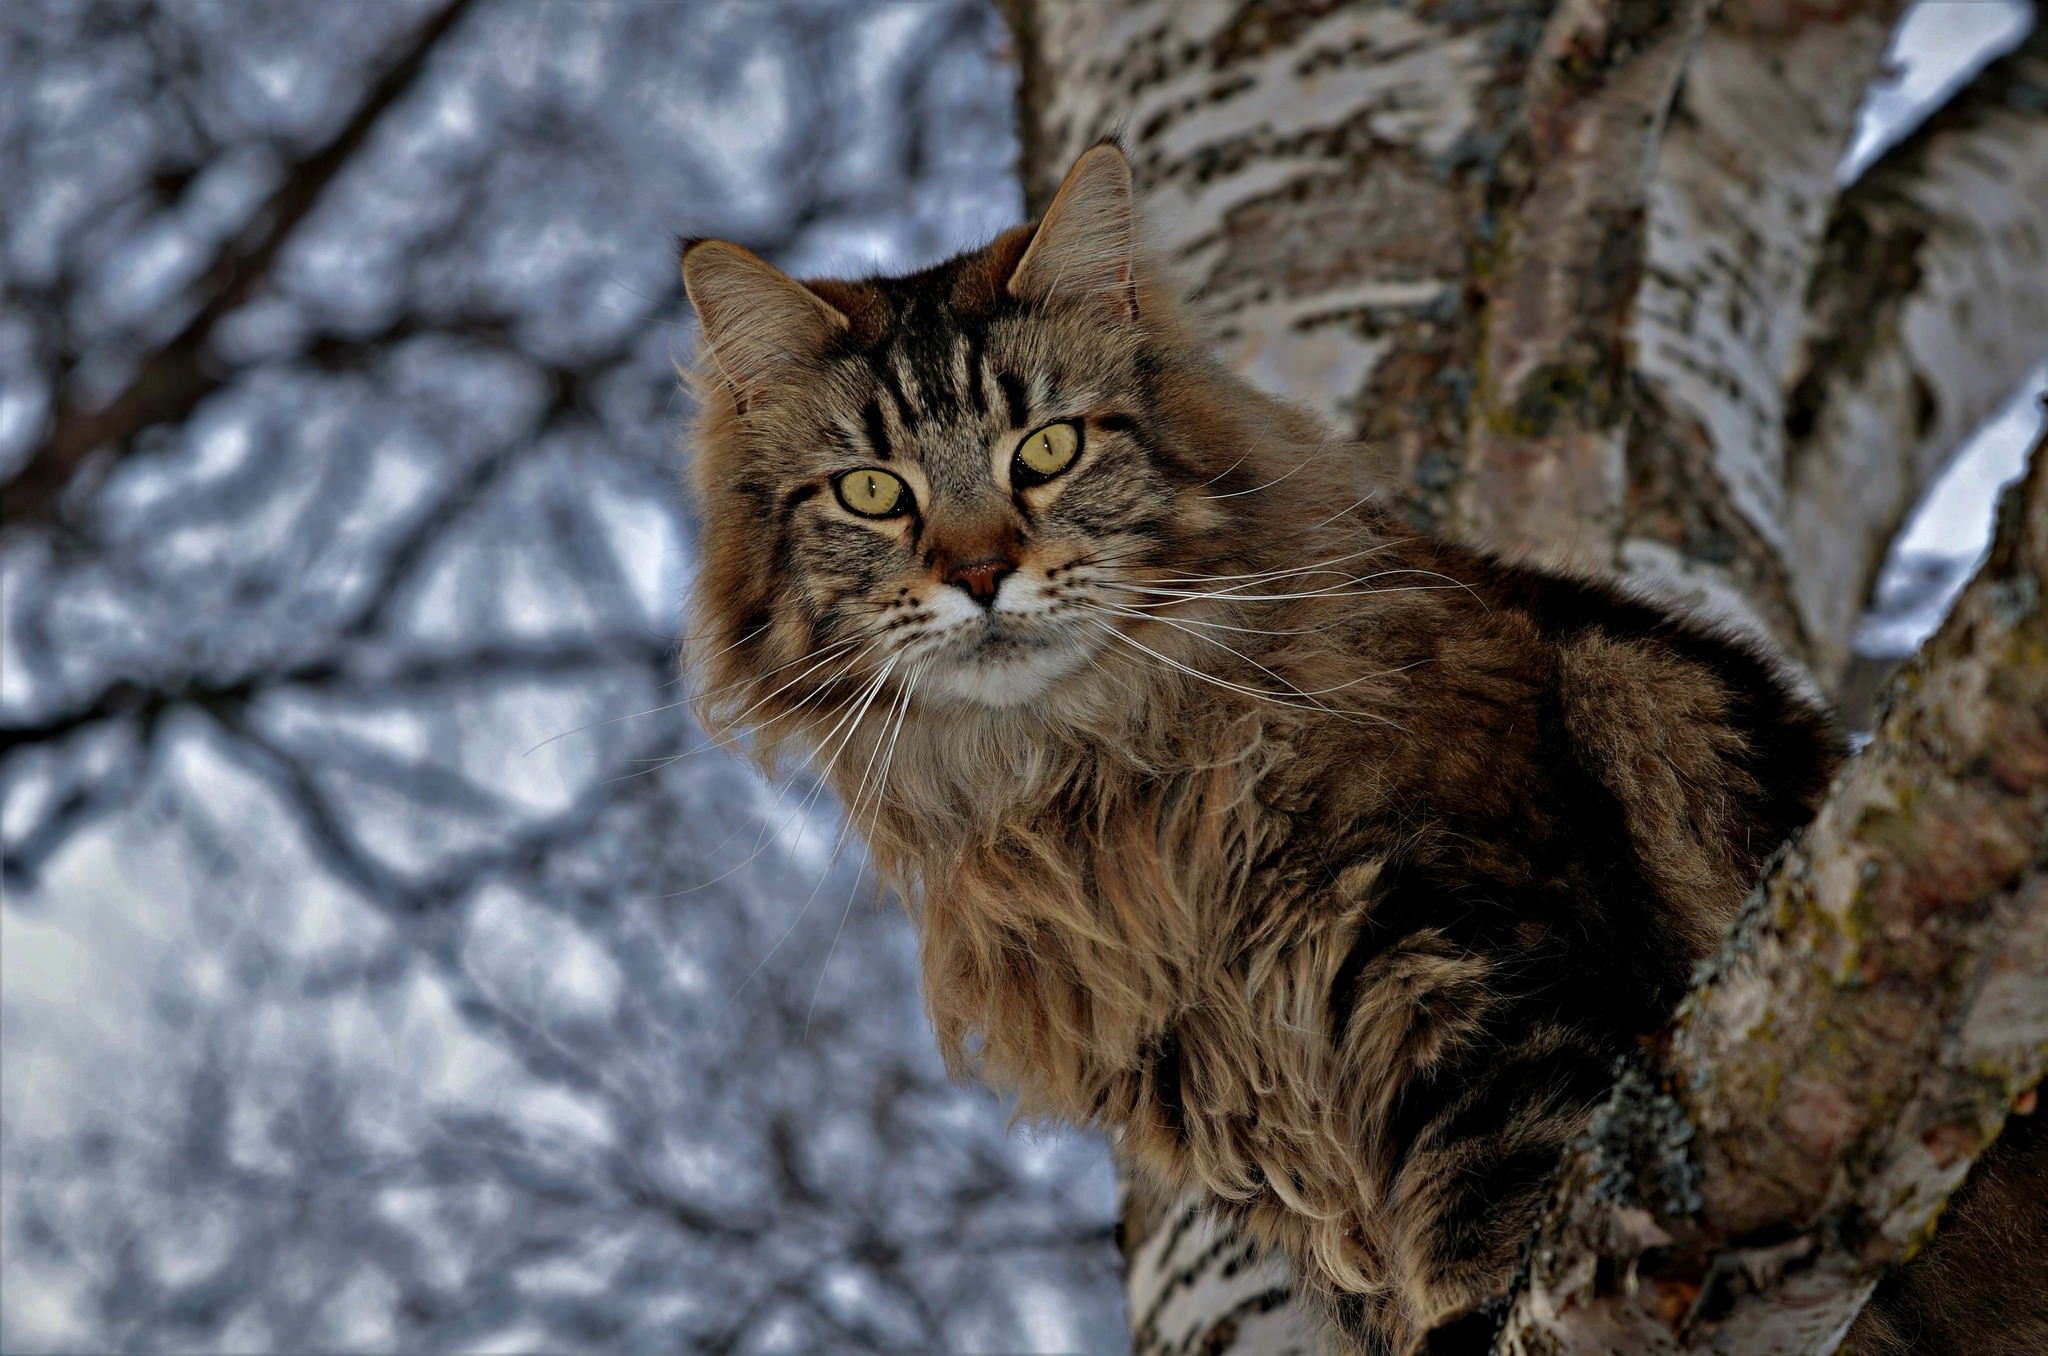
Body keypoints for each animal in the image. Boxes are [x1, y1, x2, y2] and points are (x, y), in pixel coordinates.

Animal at [675, 143, 2048, 1351]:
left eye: (1047, 449)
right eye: (873, 492)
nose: (977, 575)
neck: (1097, 790)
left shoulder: (1463, 952)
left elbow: (1490, 1193)